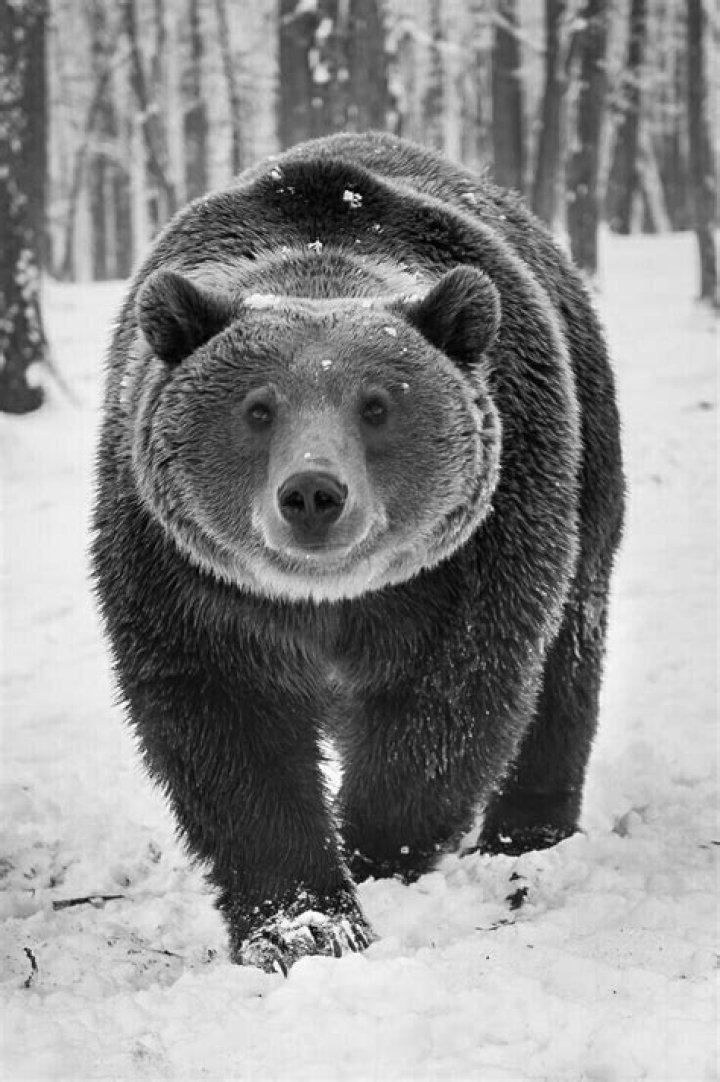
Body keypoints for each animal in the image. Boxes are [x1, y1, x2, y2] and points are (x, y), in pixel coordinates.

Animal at [92, 132, 624, 974]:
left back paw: (527, 835)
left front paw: (375, 851)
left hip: (587, 467)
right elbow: (228, 730)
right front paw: (304, 923)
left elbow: (450, 703)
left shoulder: (477, 553)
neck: (328, 601)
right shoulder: (181, 574)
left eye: (377, 405)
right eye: (258, 408)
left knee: (568, 658)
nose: (313, 492)